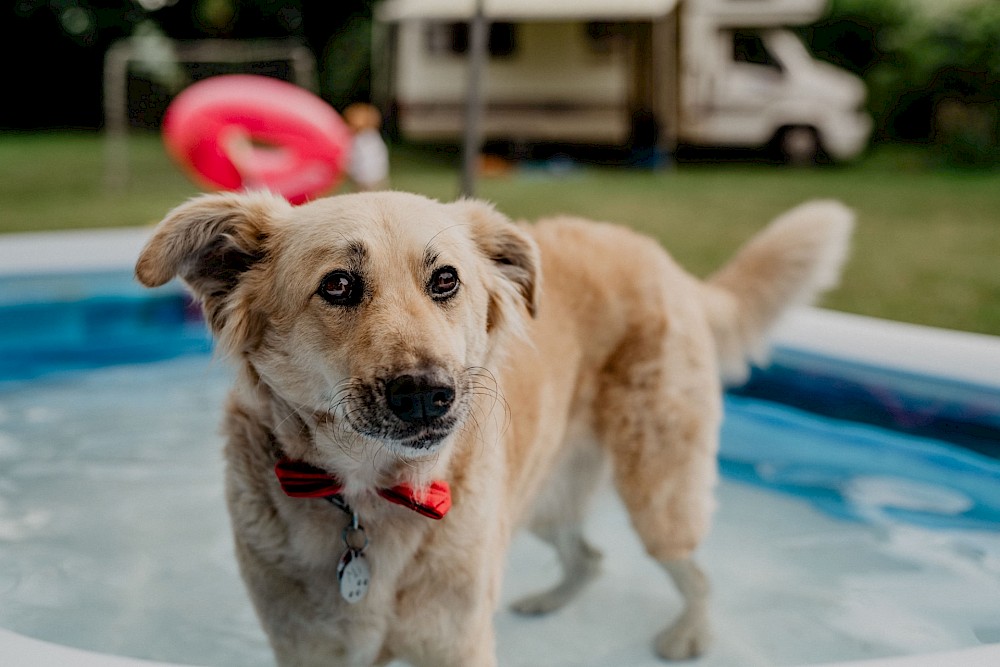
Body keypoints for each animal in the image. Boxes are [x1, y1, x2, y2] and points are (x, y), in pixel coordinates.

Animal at [133, 190, 852, 664]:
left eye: (445, 279)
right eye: (337, 285)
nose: (427, 395)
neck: (371, 495)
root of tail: (664, 261)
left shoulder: (458, 645)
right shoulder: (309, 651)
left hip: (656, 493)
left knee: (694, 572)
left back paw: (690, 635)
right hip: (541, 497)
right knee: (589, 556)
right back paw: (552, 598)